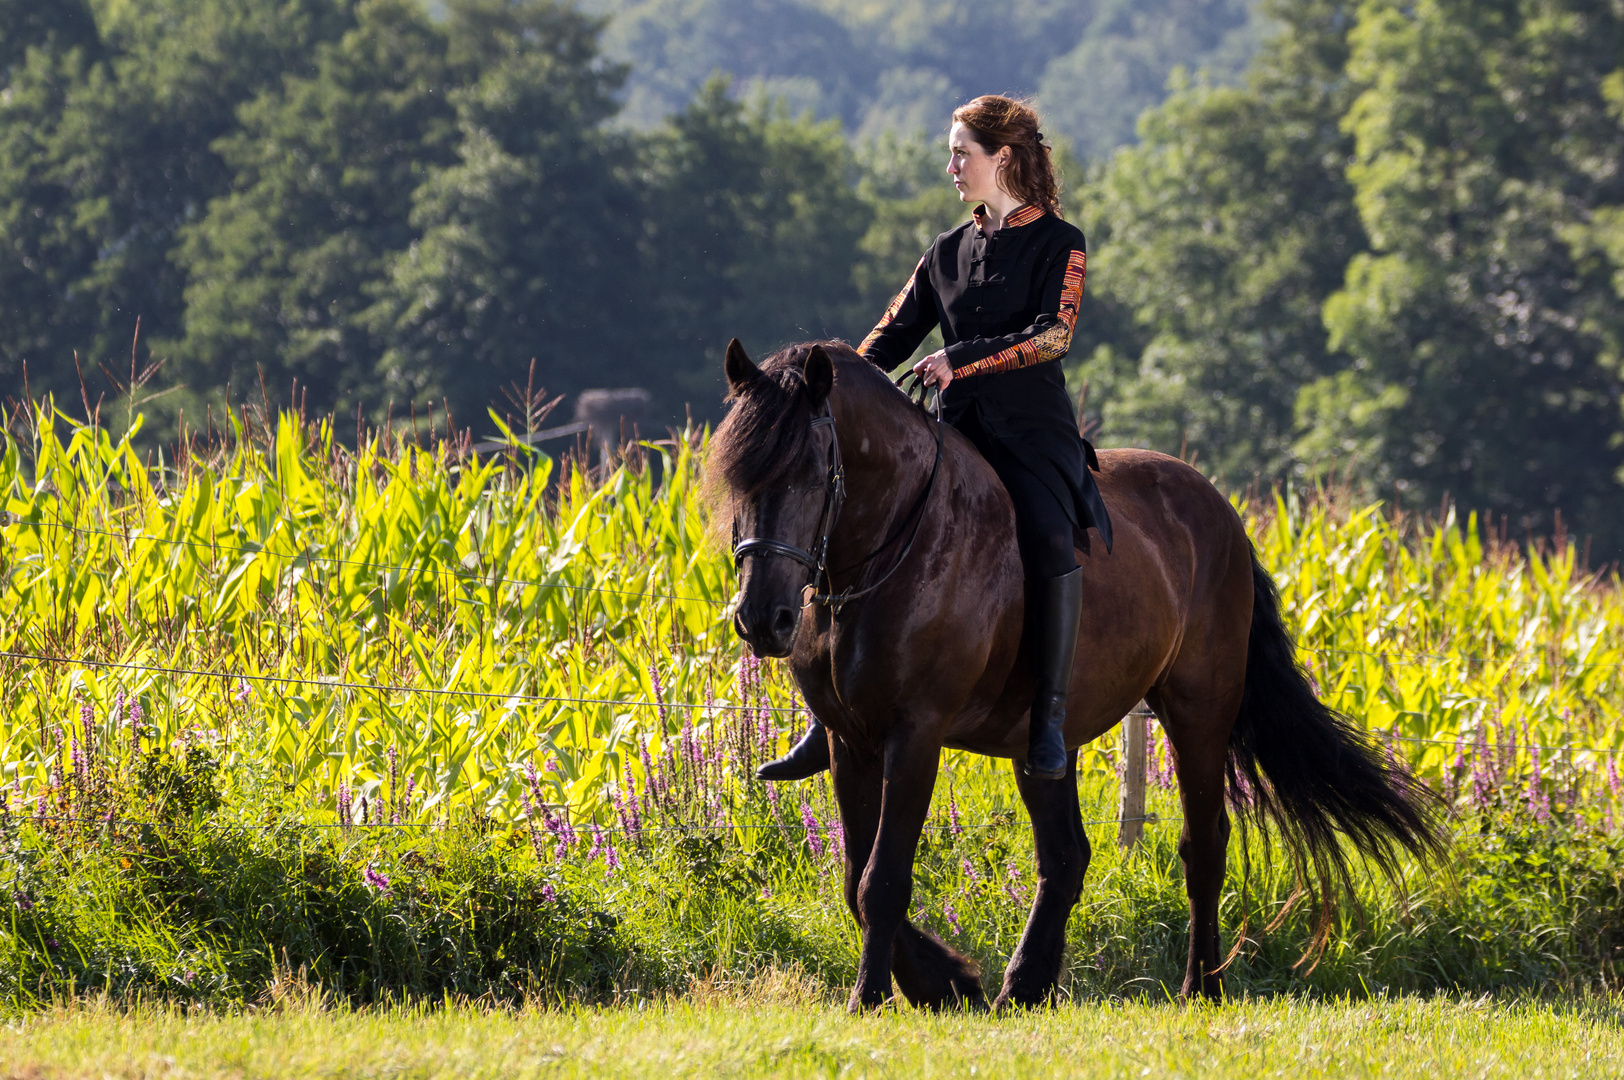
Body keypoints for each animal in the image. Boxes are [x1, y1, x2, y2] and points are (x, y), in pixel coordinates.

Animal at [717, 339, 1442, 1013]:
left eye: (814, 472)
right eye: (737, 477)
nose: (762, 618)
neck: (893, 547)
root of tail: (1221, 513)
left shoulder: (913, 736)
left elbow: (883, 878)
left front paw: (875, 997)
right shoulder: (851, 741)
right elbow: (854, 878)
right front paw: (945, 982)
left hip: (1199, 710)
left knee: (1202, 844)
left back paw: (1200, 987)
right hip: (1042, 745)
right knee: (1067, 856)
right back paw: (1024, 986)